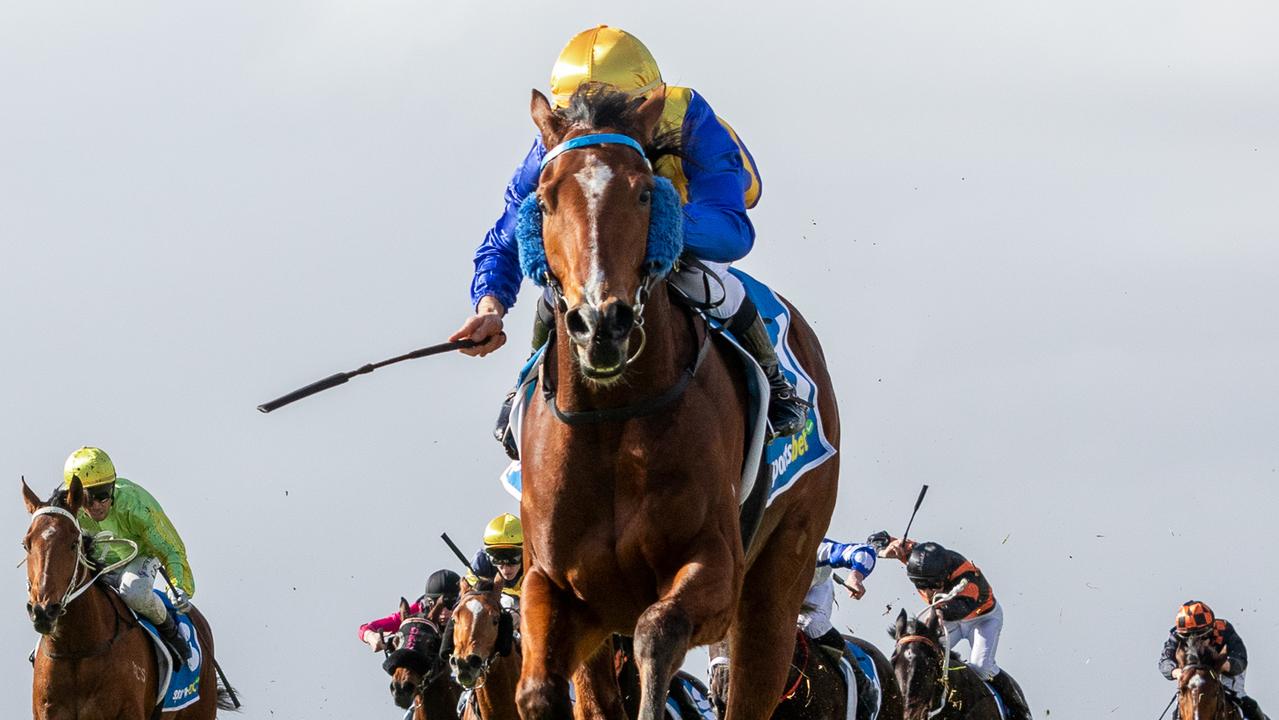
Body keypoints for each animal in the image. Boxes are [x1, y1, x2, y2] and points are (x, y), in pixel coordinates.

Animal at [21, 478, 237, 720]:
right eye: (26, 544)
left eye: (73, 544)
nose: (44, 611)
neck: (77, 650)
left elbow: (171, 549)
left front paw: (180, 594)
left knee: (136, 589)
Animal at [514, 85, 844, 720]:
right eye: (543, 201)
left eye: (645, 192)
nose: (602, 324)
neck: (610, 419)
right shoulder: (556, 585)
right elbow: (539, 691)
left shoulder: (717, 566)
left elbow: (657, 631)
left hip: (779, 578)